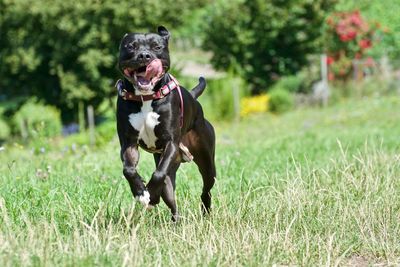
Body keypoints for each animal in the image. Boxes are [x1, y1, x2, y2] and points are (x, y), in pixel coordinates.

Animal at [115, 25, 216, 222]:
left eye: (157, 47)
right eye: (131, 46)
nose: (144, 55)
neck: (145, 98)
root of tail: (194, 98)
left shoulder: (171, 143)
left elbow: (158, 173)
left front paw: (151, 195)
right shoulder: (128, 144)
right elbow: (128, 170)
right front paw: (140, 192)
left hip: (206, 162)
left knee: (206, 188)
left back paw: (205, 210)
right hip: (171, 168)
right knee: (170, 197)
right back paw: (175, 221)